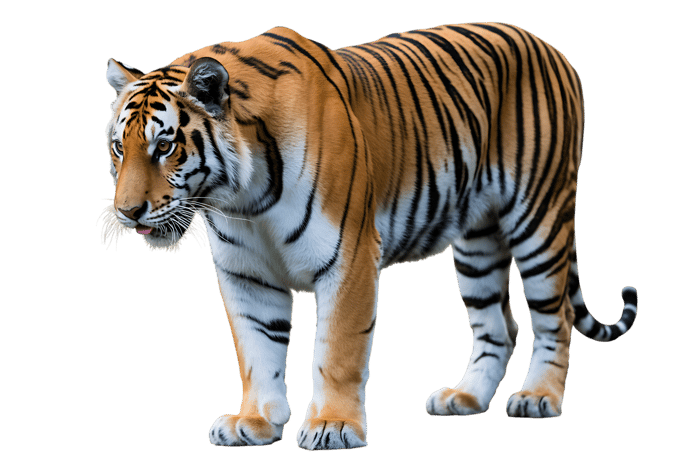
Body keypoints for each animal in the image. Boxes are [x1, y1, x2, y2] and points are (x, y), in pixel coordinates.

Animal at [102, 22, 638, 450]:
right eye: (118, 148)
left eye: (165, 146)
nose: (128, 212)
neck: (243, 198)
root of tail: (550, 46)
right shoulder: (246, 275)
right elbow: (256, 350)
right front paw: (254, 423)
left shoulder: (349, 256)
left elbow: (338, 349)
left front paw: (333, 427)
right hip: (478, 242)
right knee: (497, 326)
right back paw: (464, 397)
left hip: (538, 218)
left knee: (556, 318)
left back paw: (538, 397)